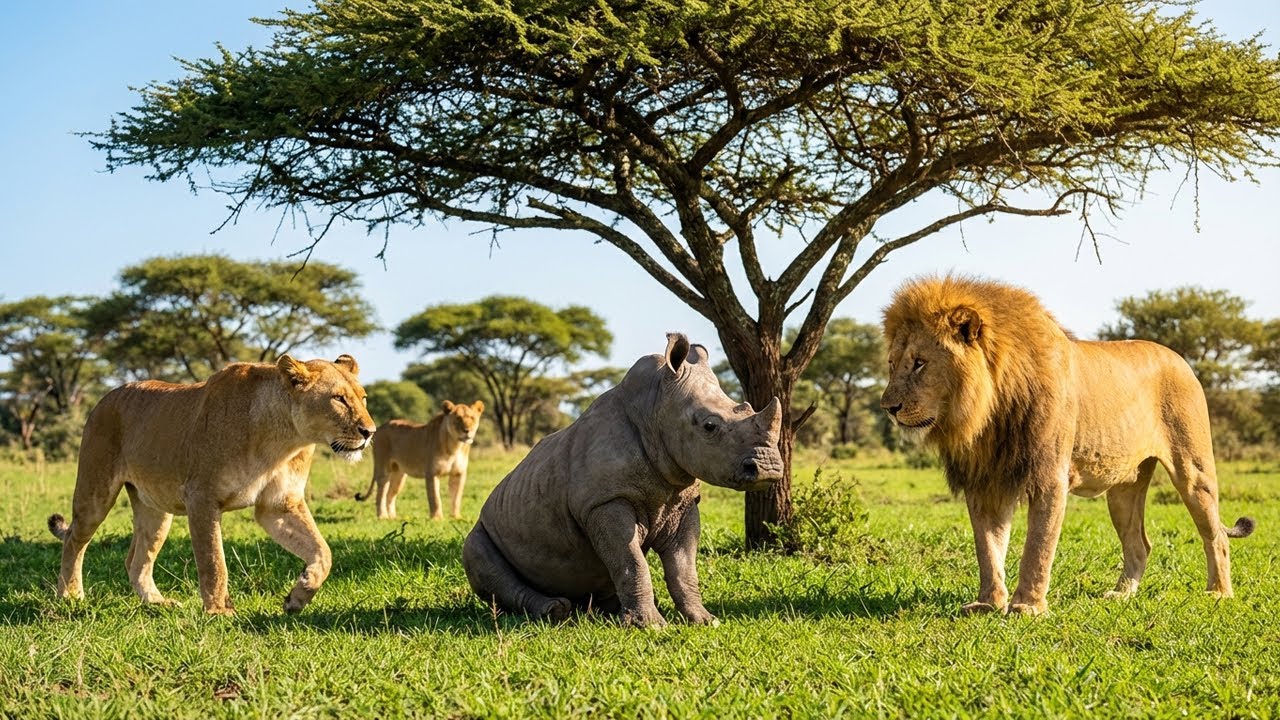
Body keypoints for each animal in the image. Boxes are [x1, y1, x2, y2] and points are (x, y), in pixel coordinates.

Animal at [48, 354, 376, 615]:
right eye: (338, 398)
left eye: (363, 398)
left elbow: (323, 552)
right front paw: (220, 612)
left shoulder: (279, 505)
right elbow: (213, 561)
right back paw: (71, 595)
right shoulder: (201, 498)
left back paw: (158, 603)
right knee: (74, 539)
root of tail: (106, 397)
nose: (369, 432)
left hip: (156, 509)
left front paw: (298, 597)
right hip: (95, 491)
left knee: (135, 560)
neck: (283, 440)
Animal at [355, 400, 485, 520]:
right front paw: (437, 518)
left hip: (399, 474)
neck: (455, 446)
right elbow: (435, 498)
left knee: (390, 494)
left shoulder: (458, 474)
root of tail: (381, 427)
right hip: (383, 468)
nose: (467, 430)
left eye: (472, 418)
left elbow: (456, 497)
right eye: (458, 418)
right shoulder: (432, 473)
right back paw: (383, 516)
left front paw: (456, 517)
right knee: (381, 494)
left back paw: (393, 517)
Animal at [462, 333, 784, 628]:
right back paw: (555, 611)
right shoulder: (604, 501)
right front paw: (651, 626)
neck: (655, 409)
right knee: (481, 559)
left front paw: (705, 620)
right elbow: (631, 560)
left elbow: (684, 567)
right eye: (709, 426)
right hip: (483, 528)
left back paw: (608, 610)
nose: (769, 468)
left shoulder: (683, 500)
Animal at [880, 276, 1254, 616]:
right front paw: (988, 603)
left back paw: (1219, 593)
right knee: (1139, 544)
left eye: (920, 362)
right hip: (1124, 488)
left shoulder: (1049, 476)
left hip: (1193, 470)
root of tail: (1181, 360)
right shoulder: (986, 480)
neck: (989, 413)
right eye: (892, 363)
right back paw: (1121, 595)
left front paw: (1027, 606)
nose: (888, 407)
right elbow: (988, 548)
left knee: (1216, 535)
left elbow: (1038, 547)